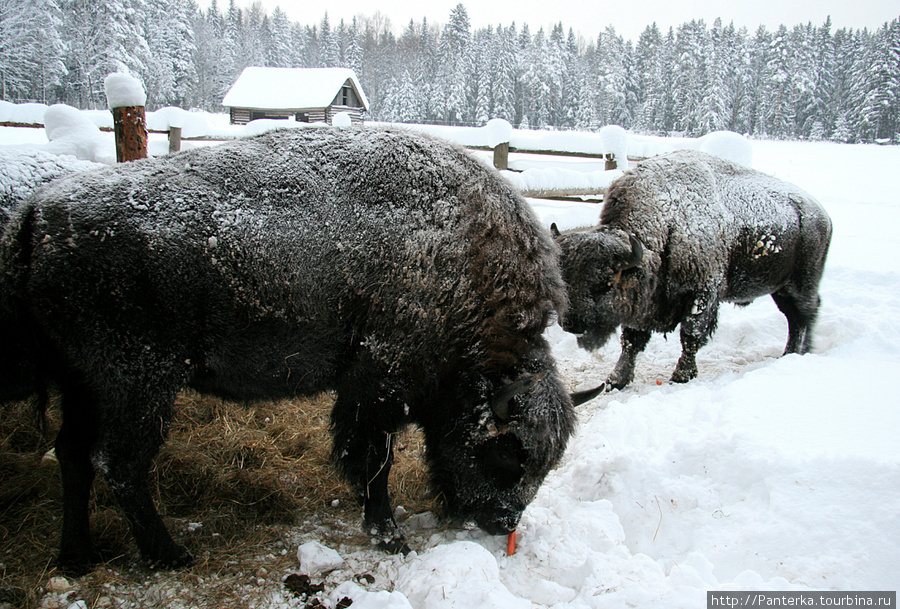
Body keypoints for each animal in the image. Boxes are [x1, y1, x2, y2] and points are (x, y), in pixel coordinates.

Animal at [0, 128, 592, 568]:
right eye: (509, 454)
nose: (505, 522)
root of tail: (38, 211)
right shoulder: (376, 386)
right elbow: (373, 463)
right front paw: (390, 537)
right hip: (138, 385)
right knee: (118, 463)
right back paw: (170, 554)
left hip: (83, 382)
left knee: (73, 454)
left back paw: (77, 556)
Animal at [552, 150, 832, 392]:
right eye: (566, 280)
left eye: (607, 283)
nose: (572, 323)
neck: (669, 220)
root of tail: (823, 215)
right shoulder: (645, 305)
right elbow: (632, 341)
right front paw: (616, 380)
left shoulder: (703, 293)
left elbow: (691, 334)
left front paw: (682, 375)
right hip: (781, 289)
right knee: (794, 317)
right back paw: (790, 352)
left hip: (802, 283)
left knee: (807, 313)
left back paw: (801, 351)